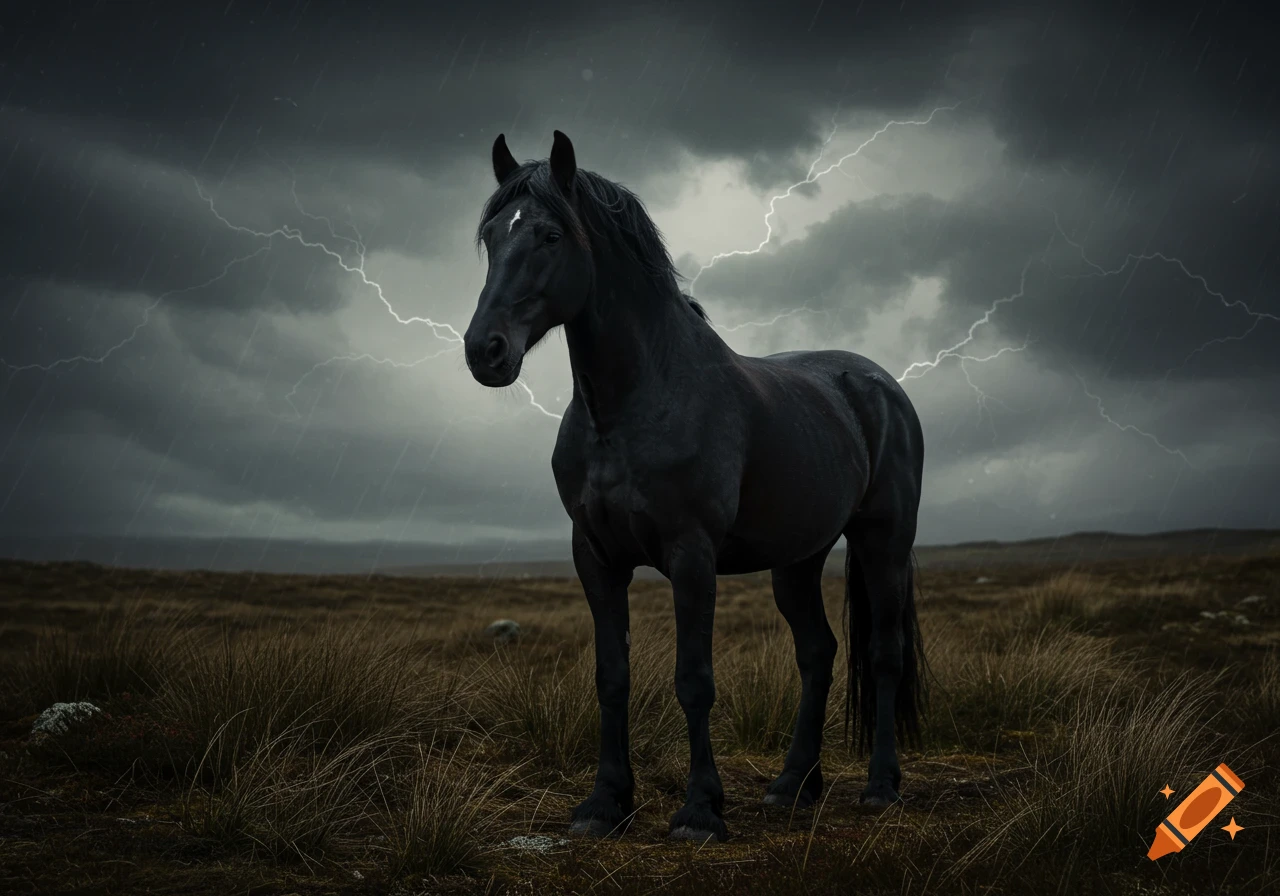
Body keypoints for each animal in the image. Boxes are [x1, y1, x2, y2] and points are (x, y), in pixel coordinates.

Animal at [463, 131, 926, 843]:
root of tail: (879, 386)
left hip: (884, 543)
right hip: (798, 560)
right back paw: (793, 786)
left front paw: (700, 811)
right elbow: (612, 675)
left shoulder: (691, 555)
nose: (484, 351)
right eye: (490, 236)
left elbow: (694, 680)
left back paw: (880, 788)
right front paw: (604, 803)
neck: (632, 405)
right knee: (818, 652)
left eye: (549, 235)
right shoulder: (595, 557)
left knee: (882, 655)